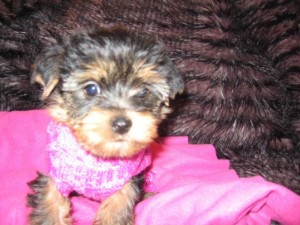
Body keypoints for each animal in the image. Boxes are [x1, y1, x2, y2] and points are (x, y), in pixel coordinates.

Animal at [27, 25, 184, 225]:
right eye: (91, 89)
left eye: (143, 92)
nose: (122, 123)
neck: (100, 157)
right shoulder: (55, 175)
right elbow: (51, 202)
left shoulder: (126, 182)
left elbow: (118, 206)